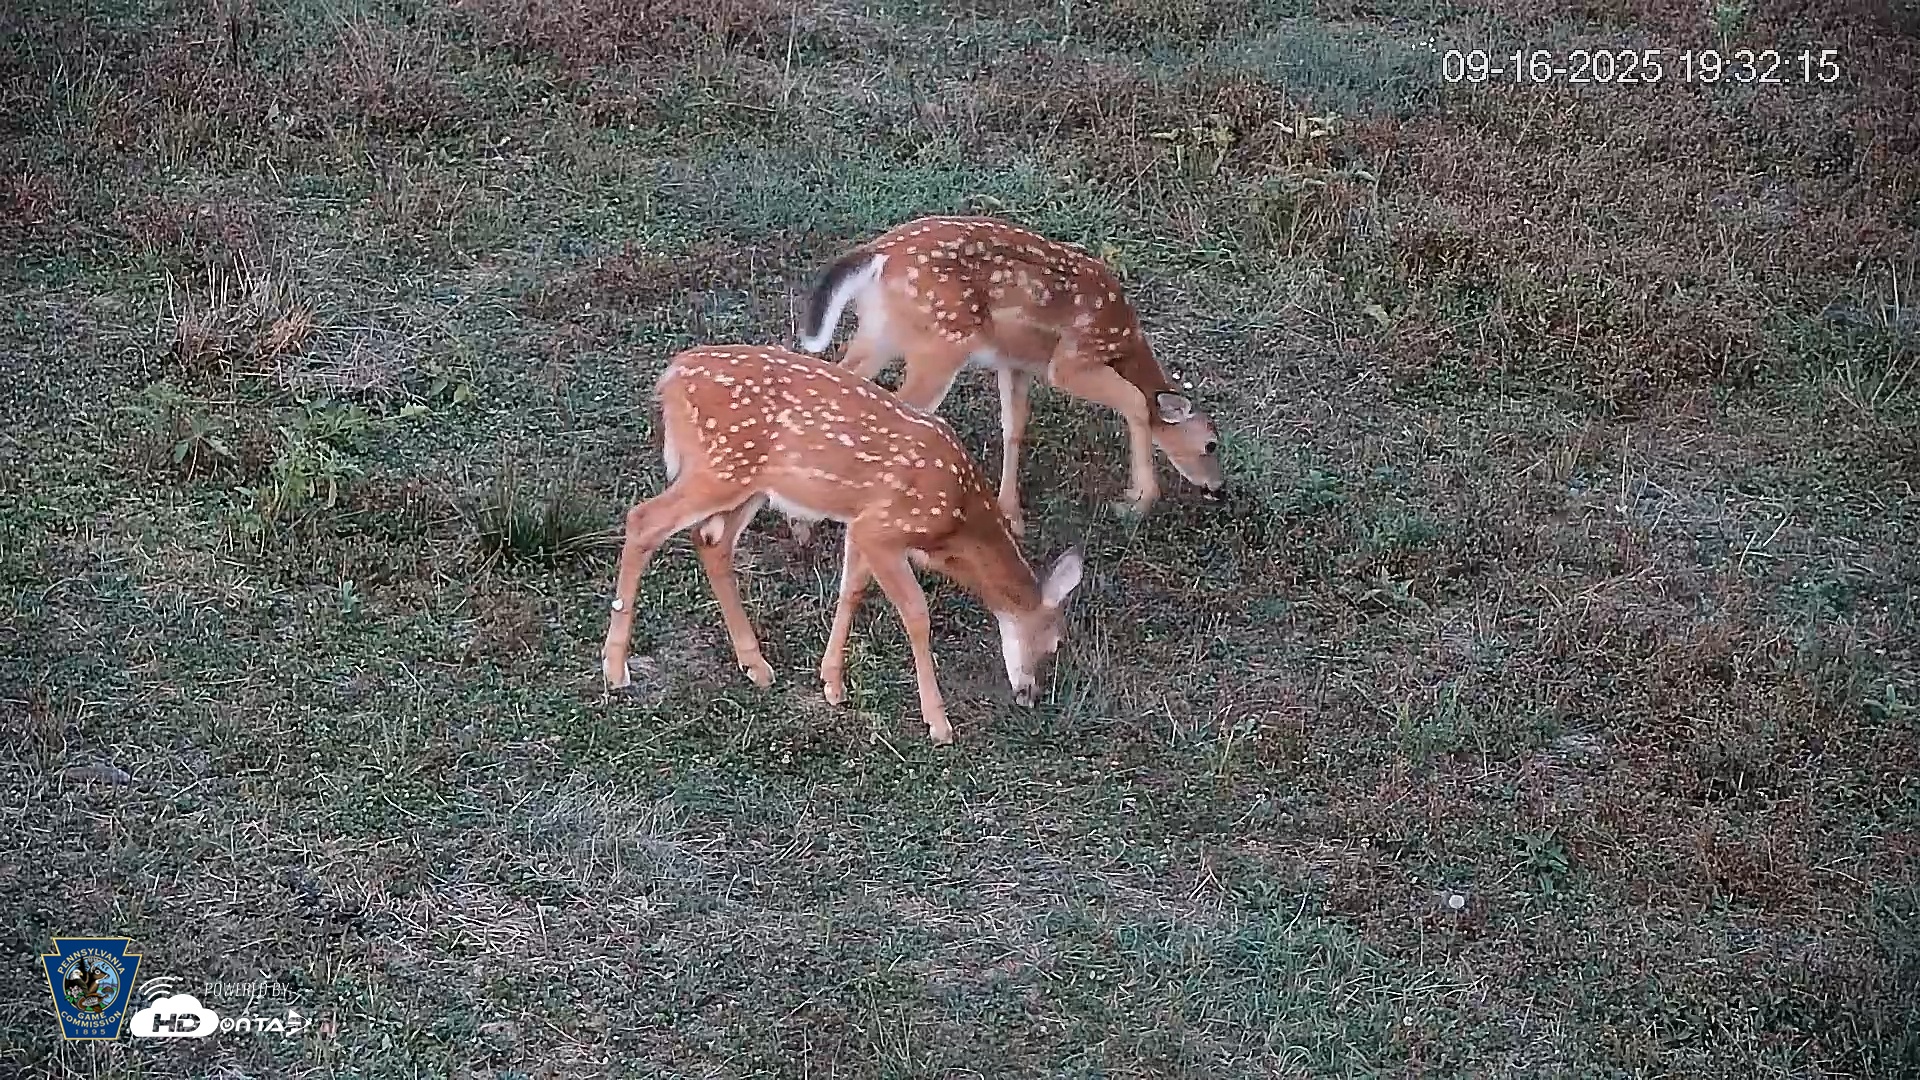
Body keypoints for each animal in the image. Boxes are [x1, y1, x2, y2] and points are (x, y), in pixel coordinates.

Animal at [599, 344, 1086, 746]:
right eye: (1056, 642)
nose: (1031, 694)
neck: (958, 521)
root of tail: (670, 377)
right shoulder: (883, 527)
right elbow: (916, 614)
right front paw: (938, 721)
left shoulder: (862, 526)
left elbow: (851, 590)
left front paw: (832, 682)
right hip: (719, 467)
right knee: (644, 520)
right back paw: (615, 667)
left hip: (749, 481)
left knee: (711, 541)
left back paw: (755, 664)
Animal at [793, 215, 1226, 542]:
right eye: (1211, 445)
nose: (1217, 488)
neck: (1124, 343)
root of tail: (878, 253)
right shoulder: (1071, 361)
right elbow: (1136, 401)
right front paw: (1136, 500)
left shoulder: (1014, 362)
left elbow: (1014, 425)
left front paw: (1011, 514)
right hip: (941, 341)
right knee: (899, 407)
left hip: (881, 330)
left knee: (845, 376)